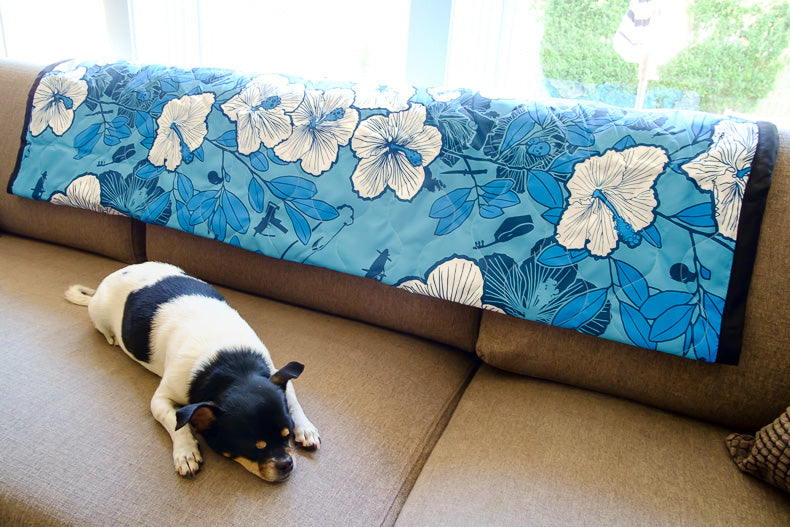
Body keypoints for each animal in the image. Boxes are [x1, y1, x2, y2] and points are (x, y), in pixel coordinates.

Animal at [65, 261, 320, 482]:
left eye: (287, 434)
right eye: (254, 447)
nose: (286, 463)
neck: (232, 366)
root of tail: (115, 274)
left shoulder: (277, 374)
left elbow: (293, 400)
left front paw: (305, 429)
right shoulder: (161, 400)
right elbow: (176, 421)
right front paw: (185, 452)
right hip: (98, 314)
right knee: (103, 328)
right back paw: (112, 338)